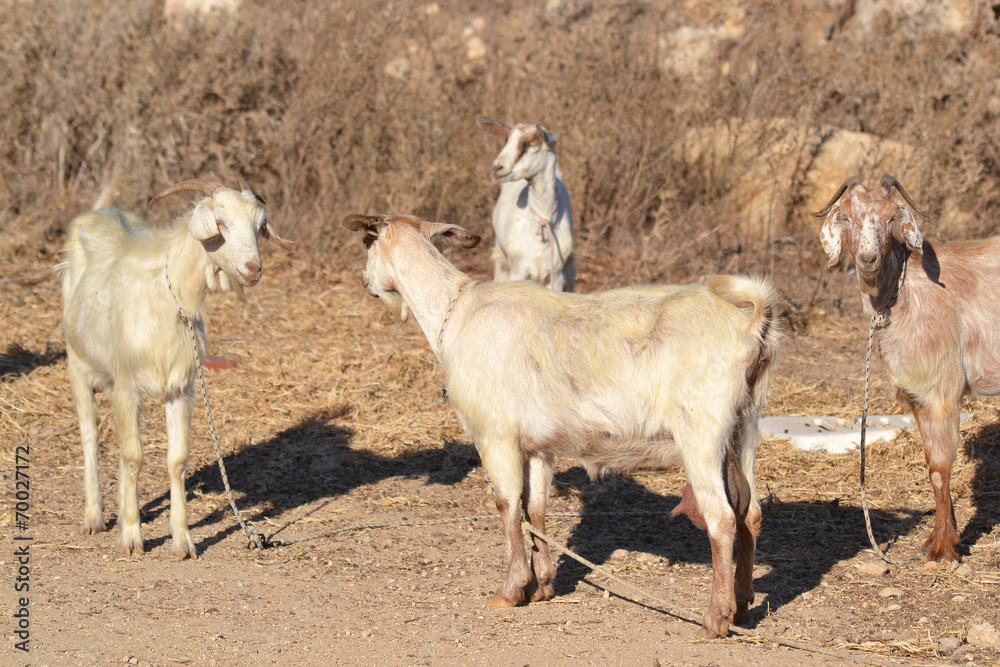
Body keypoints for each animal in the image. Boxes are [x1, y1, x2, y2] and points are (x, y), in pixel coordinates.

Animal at [58, 177, 293, 559]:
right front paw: (132, 537)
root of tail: (101, 209)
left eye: (259, 226)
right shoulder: (127, 384)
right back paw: (94, 517)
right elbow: (134, 457)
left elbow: (176, 461)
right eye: (221, 223)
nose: (252, 269)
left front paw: (182, 540)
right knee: (90, 434)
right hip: (77, 363)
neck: (172, 297)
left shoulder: (180, 388)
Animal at [342, 212, 784, 637]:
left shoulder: (494, 435)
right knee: (751, 514)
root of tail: (751, 325)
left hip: (701, 433)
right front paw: (542, 586)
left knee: (721, 519)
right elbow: (535, 508)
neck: (457, 311)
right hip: (744, 428)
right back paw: (744, 606)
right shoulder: (538, 447)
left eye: (366, 242)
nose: (363, 281)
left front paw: (510, 590)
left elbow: (507, 505)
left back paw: (715, 618)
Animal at [815, 173, 998, 561]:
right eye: (848, 217)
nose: (868, 258)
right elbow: (930, 465)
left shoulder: (940, 388)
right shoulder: (918, 396)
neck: (905, 292)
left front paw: (943, 549)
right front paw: (943, 538)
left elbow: (940, 469)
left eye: (890, 218)